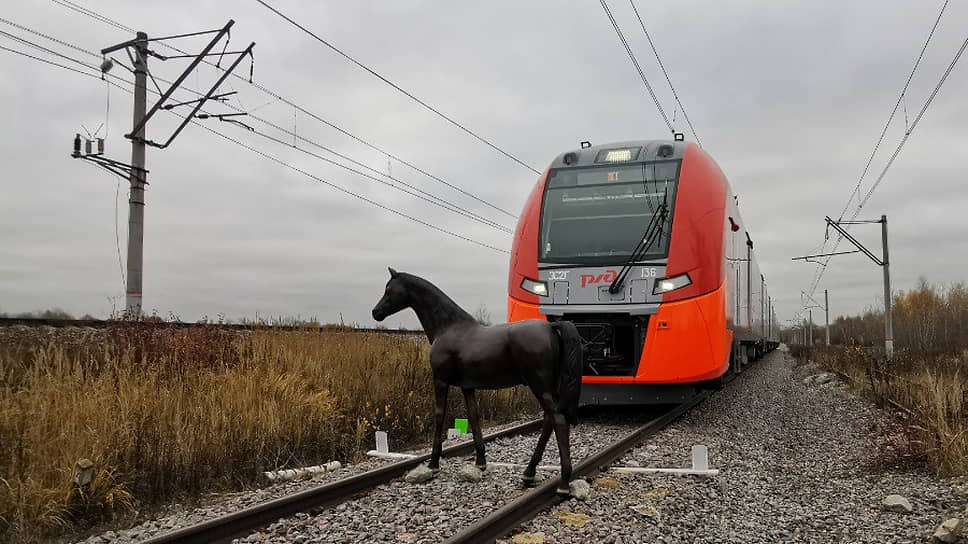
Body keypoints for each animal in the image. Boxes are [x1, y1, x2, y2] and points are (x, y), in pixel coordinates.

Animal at [370, 268, 584, 492]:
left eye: (389, 290)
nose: (376, 312)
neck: (449, 327)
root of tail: (551, 327)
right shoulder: (468, 387)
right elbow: (473, 417)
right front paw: (480, 462)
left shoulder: (440, 381)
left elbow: (439, 416)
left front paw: (433, 464)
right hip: (548, 387)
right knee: (549, 421)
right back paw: (529, 472)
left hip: (540, 386)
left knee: (558, 420)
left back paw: (563, 482)